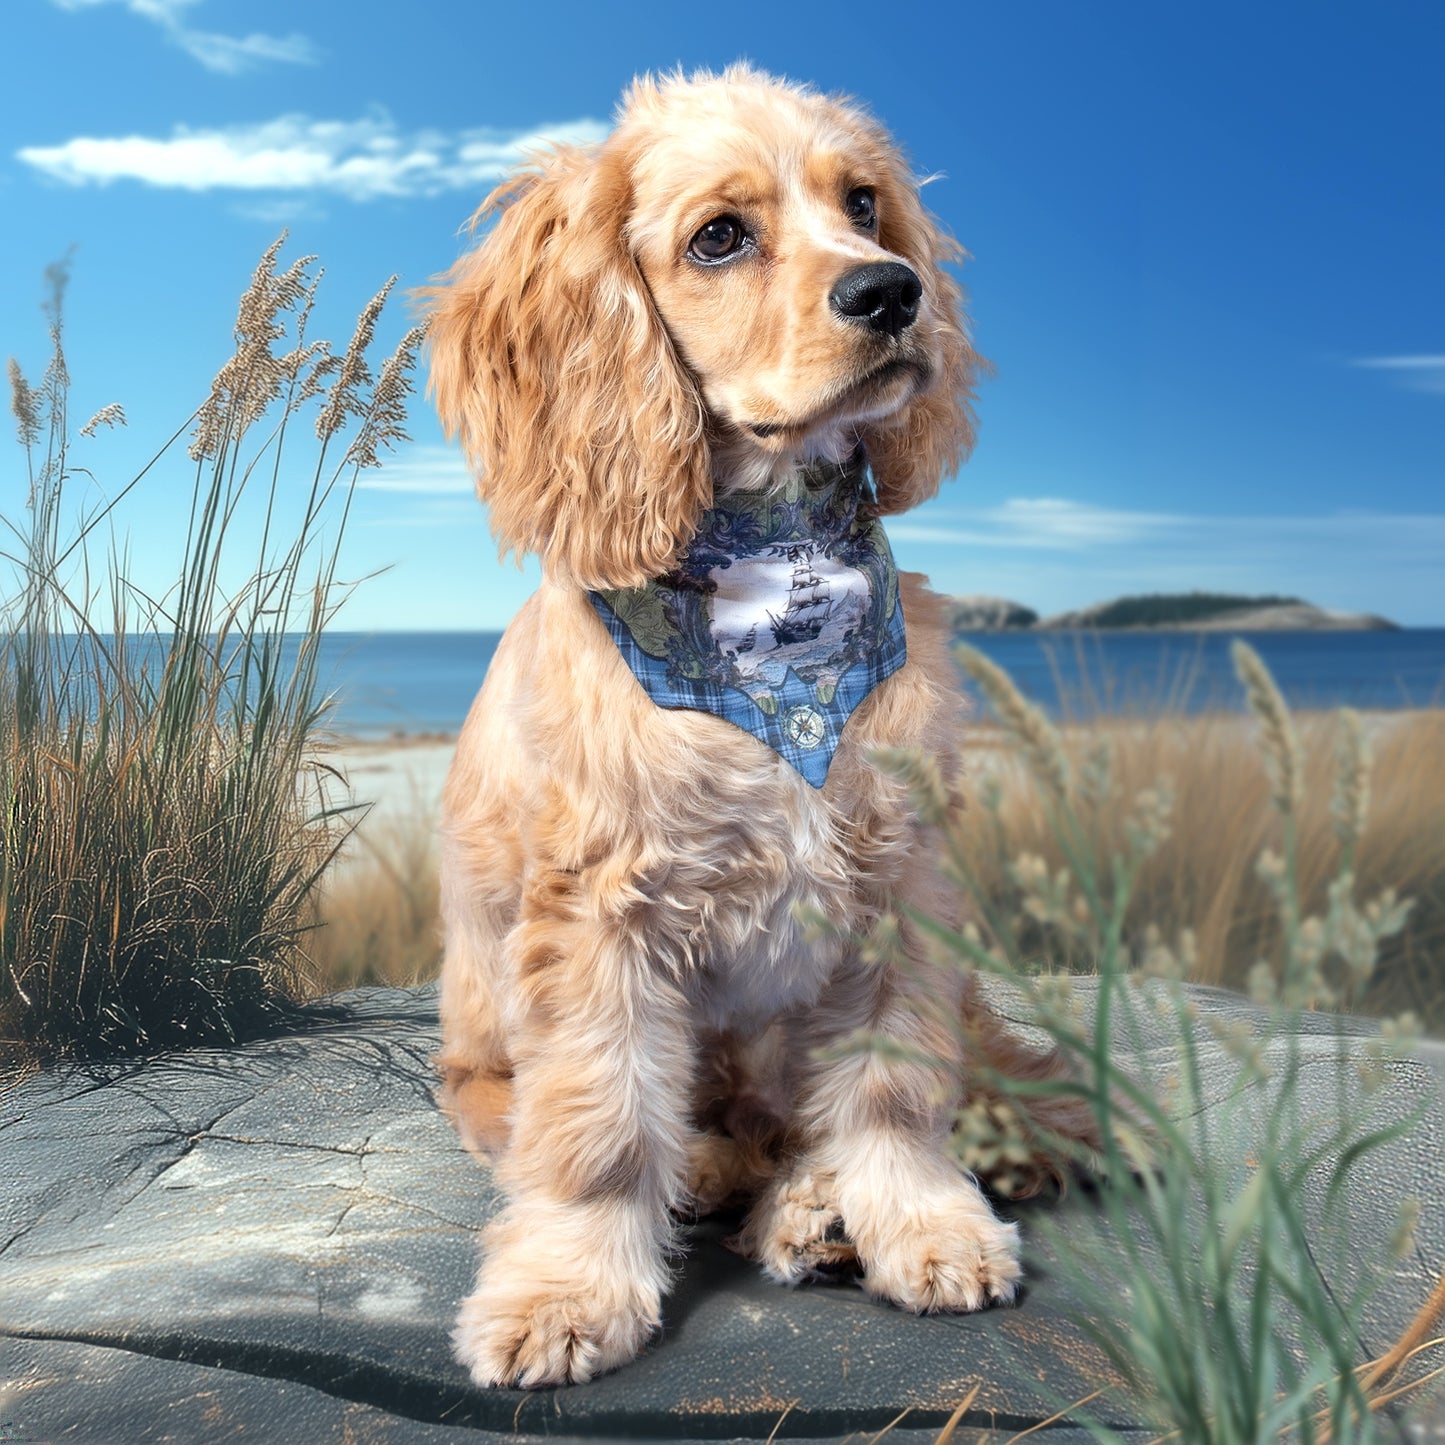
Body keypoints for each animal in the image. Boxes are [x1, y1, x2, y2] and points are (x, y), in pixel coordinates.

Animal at [419, 65, 1086, 1387]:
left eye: (864, 204)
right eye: (717, 236)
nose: (892, 291)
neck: (777, 593)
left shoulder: (894, 886)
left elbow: (890, 1087)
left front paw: (917, 1218)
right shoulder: (600, 915)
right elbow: (597, 1128)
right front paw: (563, 1287)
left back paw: (836, 1200)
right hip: (481, 1051)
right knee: (627, 1130)